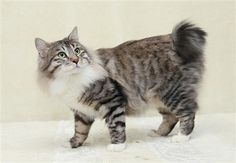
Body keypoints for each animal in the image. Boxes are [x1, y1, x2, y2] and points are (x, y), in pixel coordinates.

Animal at [35, 21, 206, 152]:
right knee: (171, 117)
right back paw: (158, 133)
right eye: (62, 55)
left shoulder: (112, 101)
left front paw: (117, 146)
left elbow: (116, 125)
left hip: (173, 93)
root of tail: (174, 40)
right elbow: (80, 131)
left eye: (77, 50)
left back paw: (182, 137)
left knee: (188, 113)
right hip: (159, 98)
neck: (71, 79)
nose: (75, 60)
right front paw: (72, 144)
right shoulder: (81, 112)